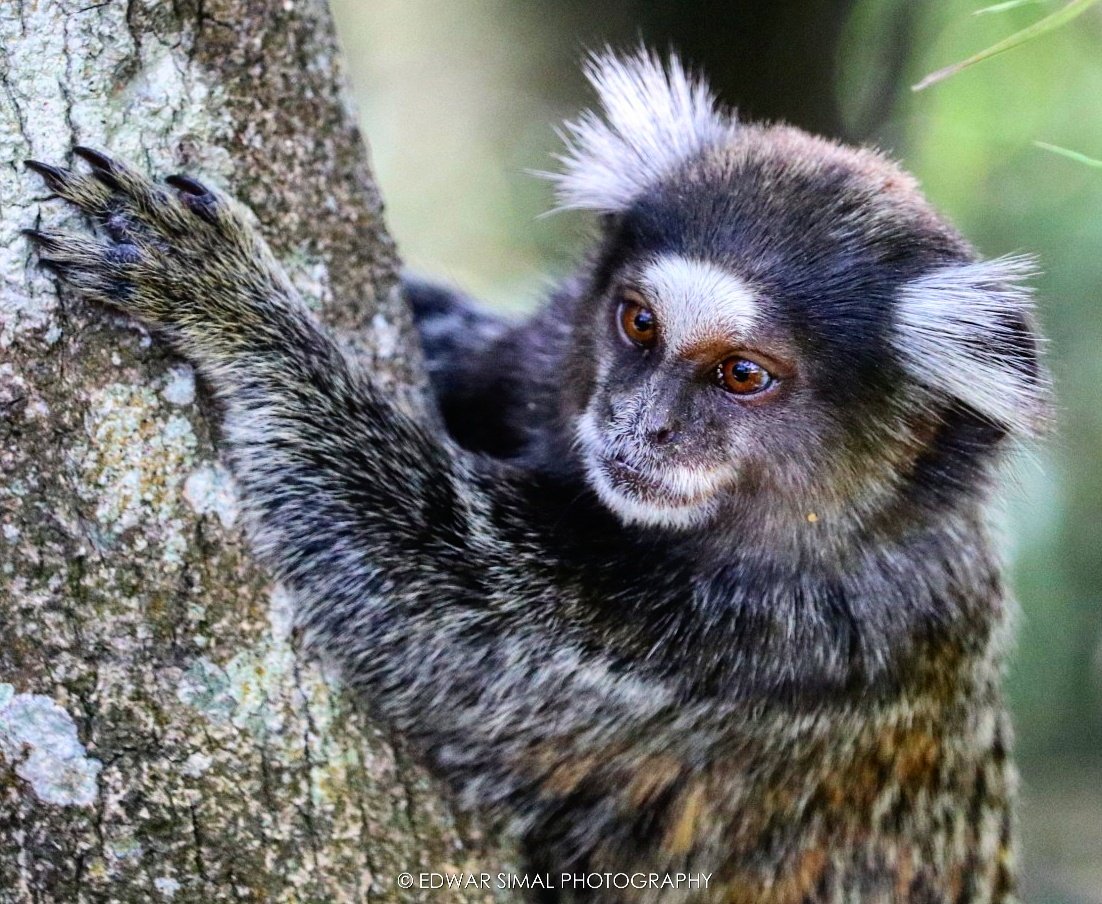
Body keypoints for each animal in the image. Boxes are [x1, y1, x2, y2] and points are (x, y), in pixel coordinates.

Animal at [25, 50, 1049, 903]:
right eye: (638, 324)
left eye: (742, 375)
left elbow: (431, 588)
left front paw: (238, 311)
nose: (643, 425)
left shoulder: (774, 650)